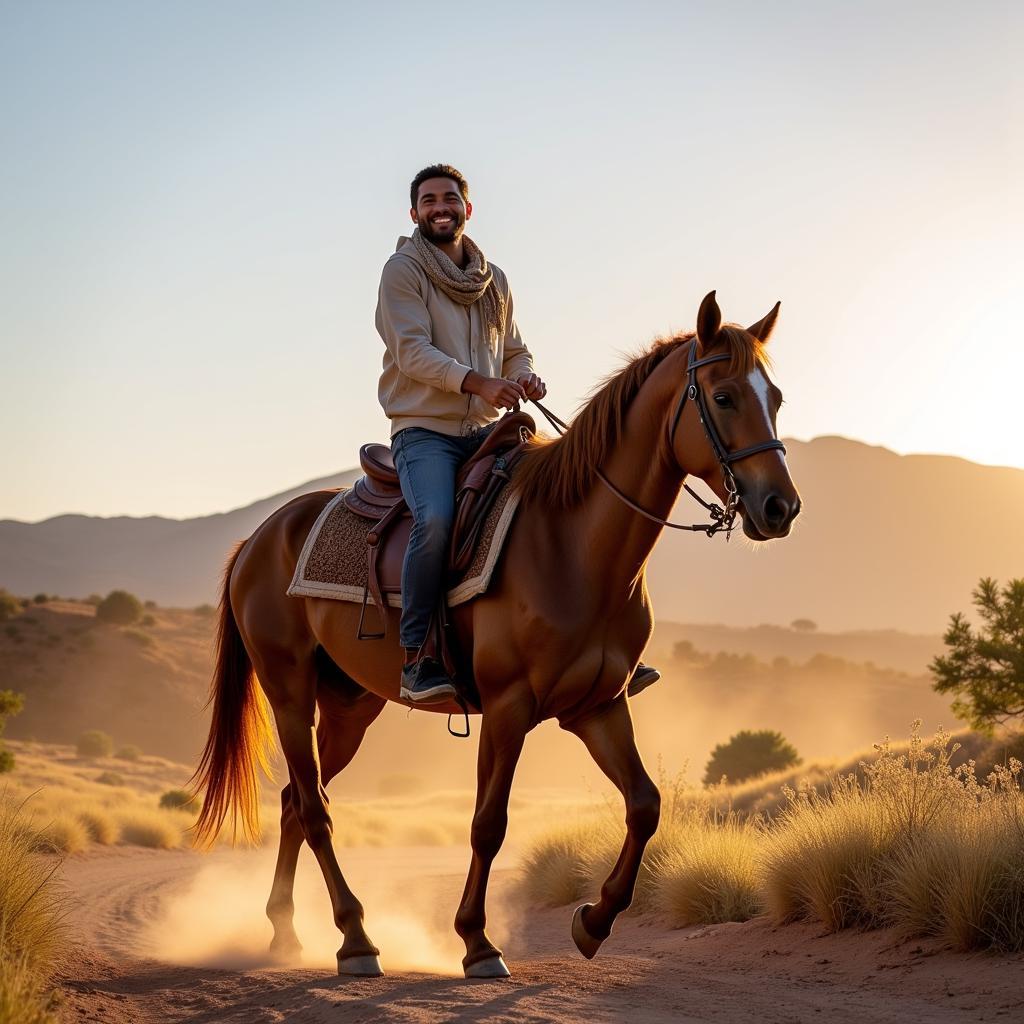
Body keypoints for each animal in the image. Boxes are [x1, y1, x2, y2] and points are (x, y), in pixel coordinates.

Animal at [190, 292, 798, 978]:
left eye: (775, 397)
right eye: (723, 396)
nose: (780, 507)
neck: (572, 545)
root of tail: (260, 538)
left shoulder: (598, 707)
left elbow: (645, 805)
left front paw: (593, 922)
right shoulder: (509, 707)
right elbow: (489, 823)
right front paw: (477, 942)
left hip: (349, 708)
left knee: (298, 799)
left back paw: (286, 932)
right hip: (290, 694)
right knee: (315, 810)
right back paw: (355, 938)